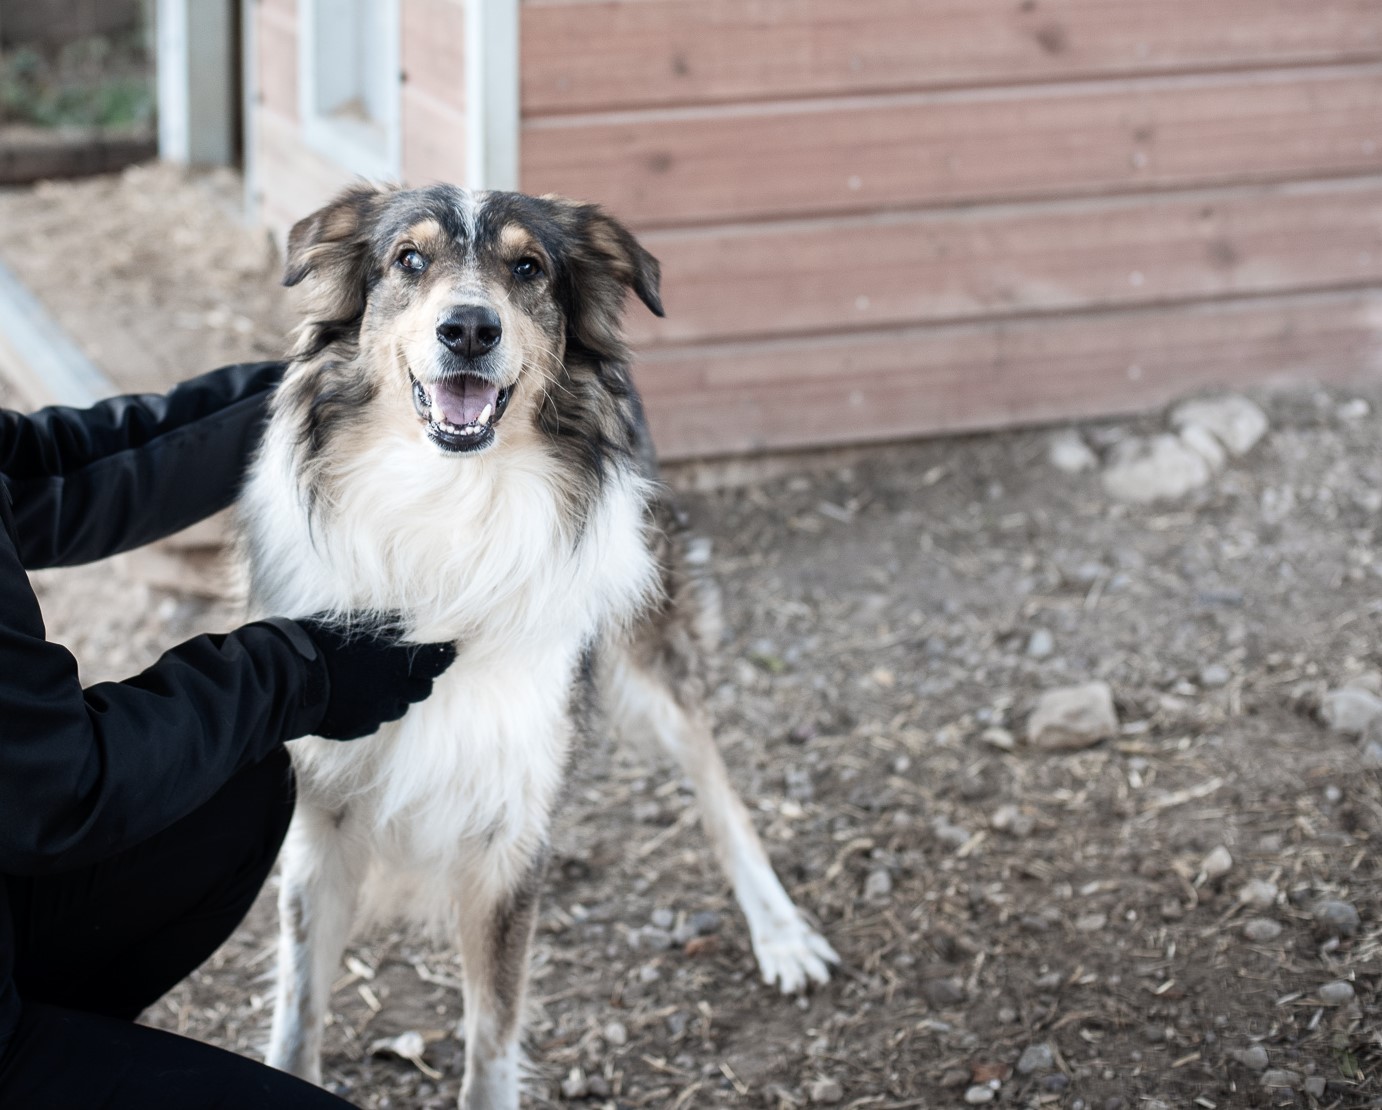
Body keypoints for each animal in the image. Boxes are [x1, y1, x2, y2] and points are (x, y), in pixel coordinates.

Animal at [241, 186, 834, 1105]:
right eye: (408, 260)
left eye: (528, 268)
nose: (469, 329)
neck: (446, 510)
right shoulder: (324, 821)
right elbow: (298, 1018)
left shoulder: (508, 832)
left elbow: (491, 1041)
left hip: (648, 640)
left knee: (714, 778)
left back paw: (780, 931)